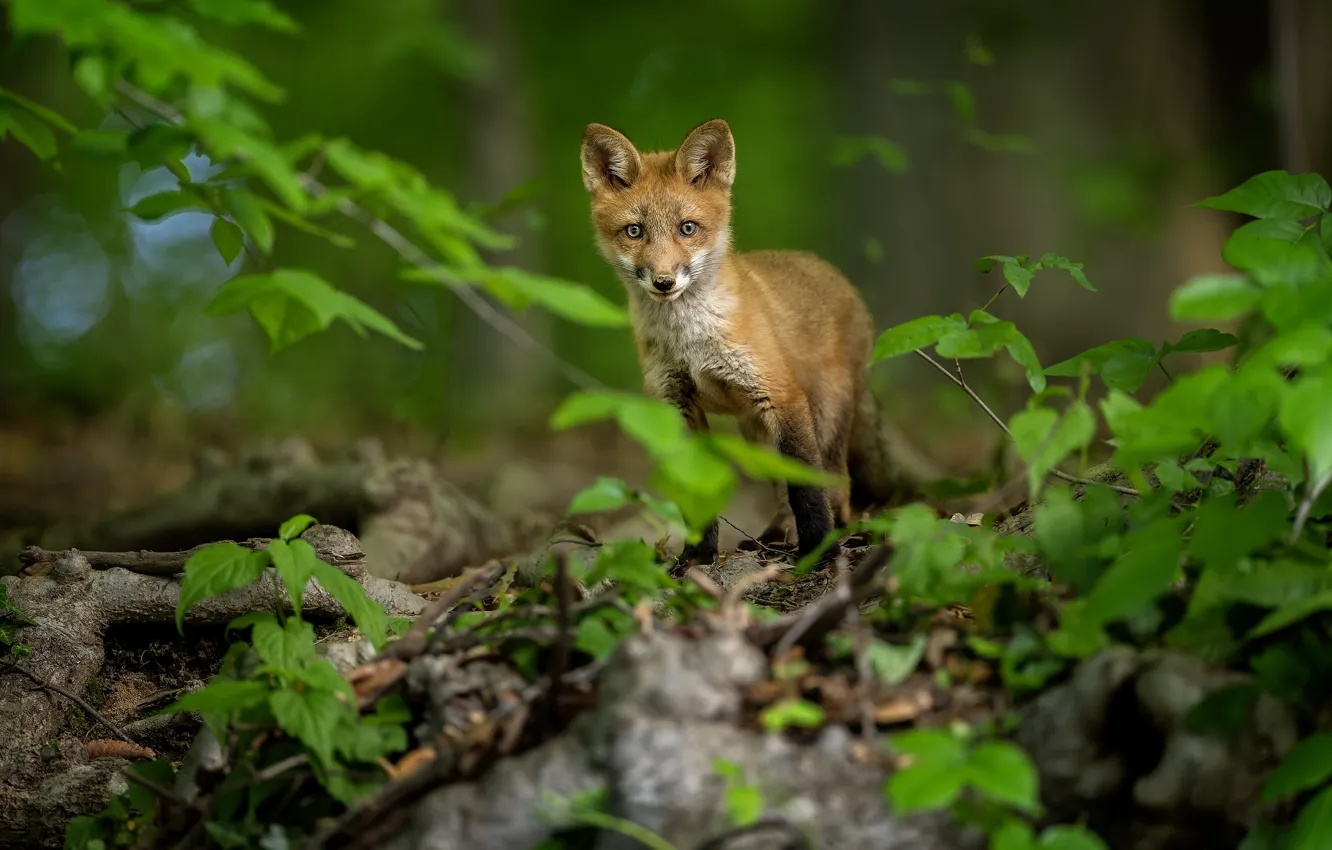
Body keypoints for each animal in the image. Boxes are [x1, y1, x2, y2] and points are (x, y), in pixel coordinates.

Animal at [579, 118, 906, 566]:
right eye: (634, 231)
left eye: (687, 228)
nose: (664, 282)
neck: (690, 343)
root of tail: (835, 275)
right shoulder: (678, 409)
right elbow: (697, 494)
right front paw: (698, 557)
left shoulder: (781, 395)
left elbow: (807, 491)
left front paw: (818, 549)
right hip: (758, 438)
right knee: (782, 491)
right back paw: (776, 537)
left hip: (822, 415)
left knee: (835, 482)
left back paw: (837, 533)